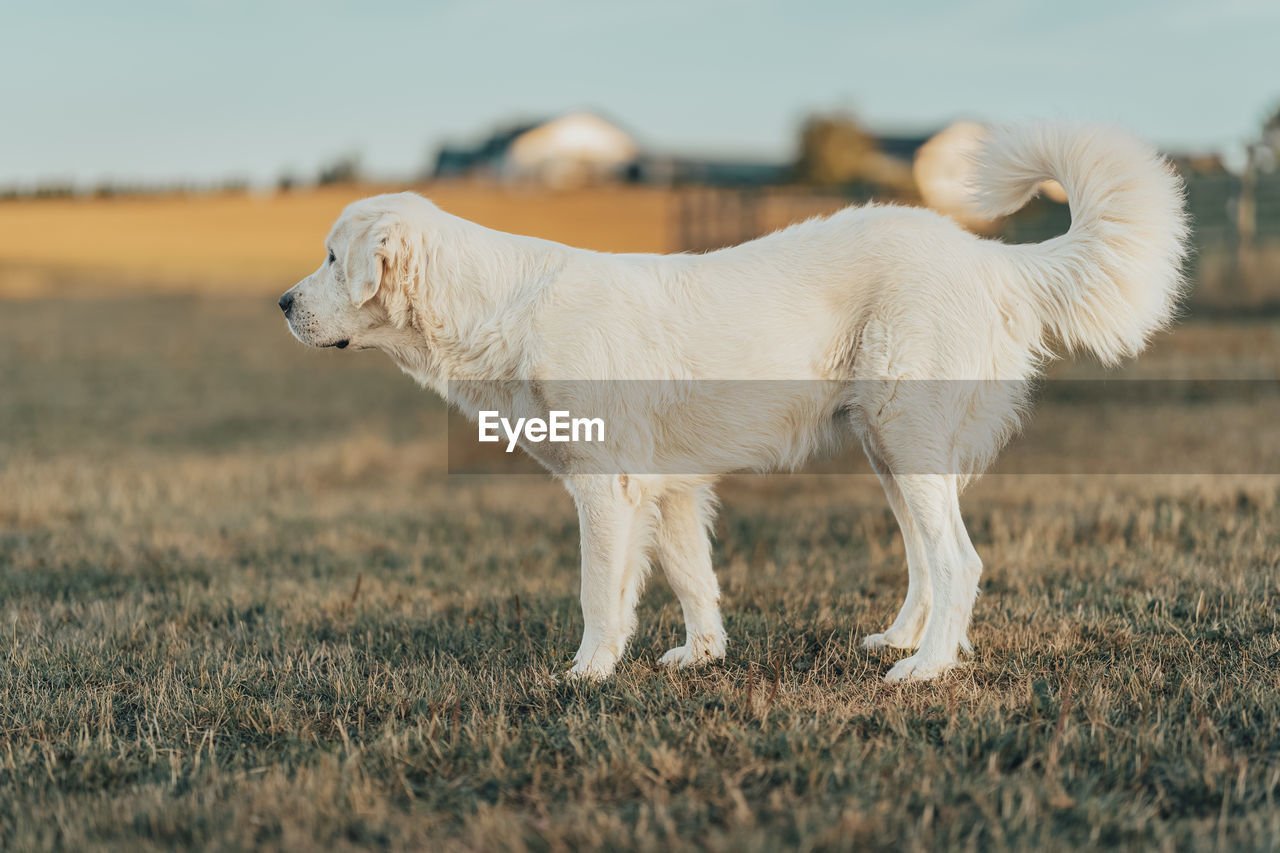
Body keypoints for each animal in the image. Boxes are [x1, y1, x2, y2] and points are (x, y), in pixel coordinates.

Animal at [280, 124, 1187, 676]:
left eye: (330, 257)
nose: (282, 303)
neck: (501, 304)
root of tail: (989, 257)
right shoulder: (671, 488)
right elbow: (693, 580)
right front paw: (701, 656)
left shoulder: (607, 487)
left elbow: (600, 591)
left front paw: (586, 672)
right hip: (889, 451)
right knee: (927, 561)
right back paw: (903, 639)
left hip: (905, 437)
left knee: (958, 560)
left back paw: (923, 668)